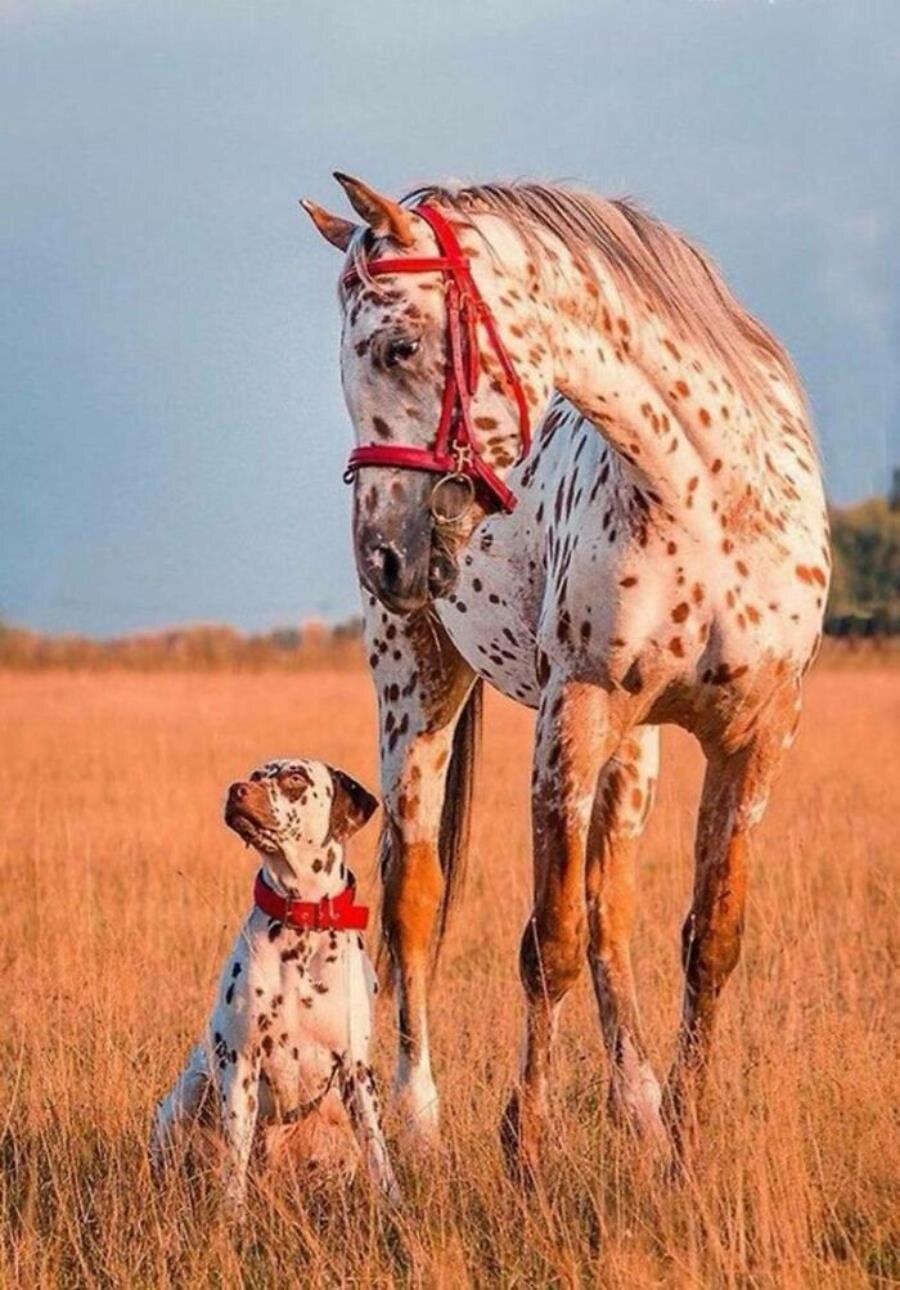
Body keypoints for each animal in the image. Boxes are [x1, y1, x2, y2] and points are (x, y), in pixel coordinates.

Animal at [151, 753, 399, 1207]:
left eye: (295, 778)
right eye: (254, 775)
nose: (236, 790)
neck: (301, 922)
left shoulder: (357, 1069)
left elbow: (377, 1150)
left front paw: (394, 1203)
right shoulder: (241, 1063)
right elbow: (234, 1159)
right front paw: (232, 1214)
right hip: (189, 1093)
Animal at [299, 174, 825, 1181]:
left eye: (398, 345)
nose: (382, 555)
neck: (705, 496)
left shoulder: (755, 739)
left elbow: (707, 940)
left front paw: (685, 1148)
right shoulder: (572, 715)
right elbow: (549, 944)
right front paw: (525, 1151)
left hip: (638, 749)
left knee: (610, 904)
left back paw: (640, 1107)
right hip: (416, 691)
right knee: (415, 898)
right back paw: (419, 1120)